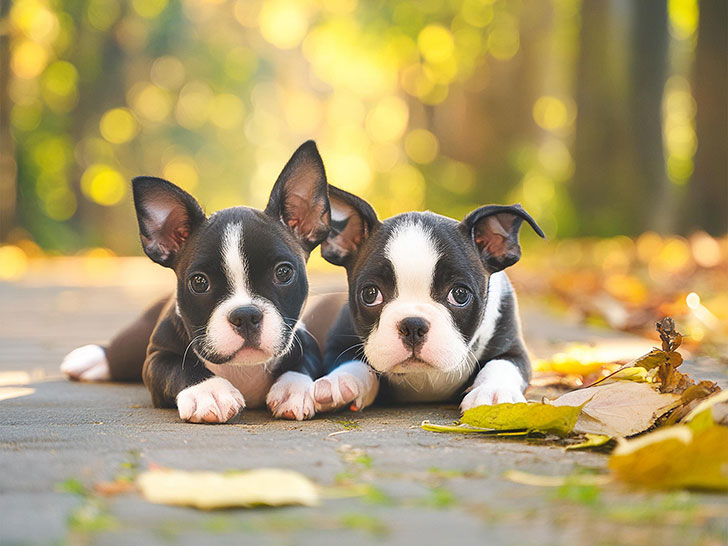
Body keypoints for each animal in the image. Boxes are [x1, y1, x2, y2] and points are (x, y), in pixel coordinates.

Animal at [61, 140, 332, 420]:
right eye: (199, 282)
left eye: (283, 273)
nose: (245, 315)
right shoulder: (157, 358)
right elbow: (181, 369)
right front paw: (210, 391)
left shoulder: (307, 343)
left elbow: (303, 365)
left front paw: (295, 390)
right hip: (137, 337)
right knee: (121, 352)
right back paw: (89, 359)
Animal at [310, 187, 544, 412]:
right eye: (370, 294)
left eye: (460, 295)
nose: (413, 325)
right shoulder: (337, 340)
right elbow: (351, 361)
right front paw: (339, 382)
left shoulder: (514, 349)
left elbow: (501, 365)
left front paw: (493, 391)